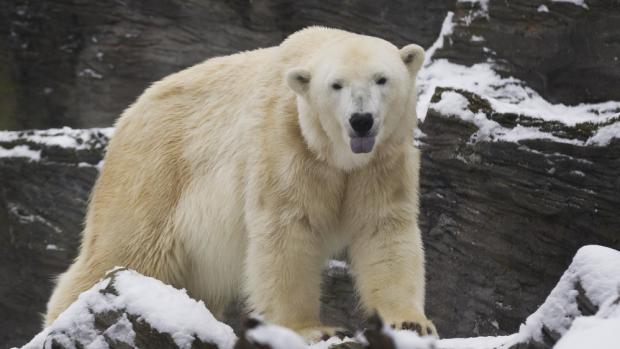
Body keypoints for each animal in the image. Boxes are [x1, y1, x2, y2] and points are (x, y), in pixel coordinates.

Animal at [46, 26, 434, 338]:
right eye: (335, 85)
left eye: (382, 79)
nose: (361, 120)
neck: (336, 156)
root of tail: (128, 115)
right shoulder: (285, 145)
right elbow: (286, 233)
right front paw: (311, 329)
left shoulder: (383, 162)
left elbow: (384, 229)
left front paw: (410, 322)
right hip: (152, 172)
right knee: (124, 248)